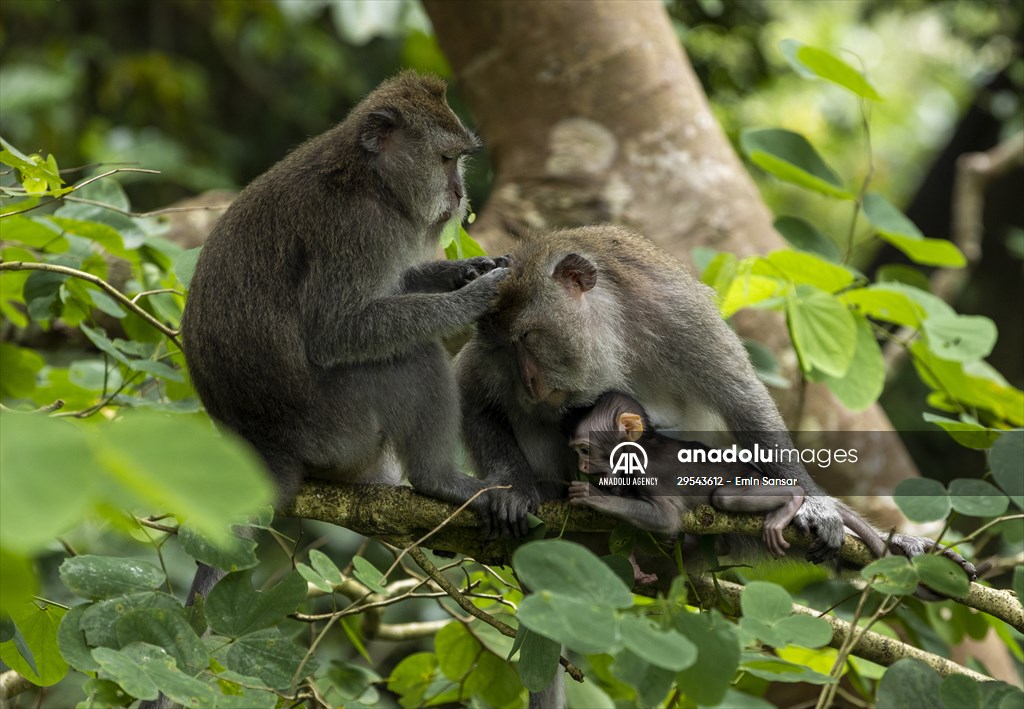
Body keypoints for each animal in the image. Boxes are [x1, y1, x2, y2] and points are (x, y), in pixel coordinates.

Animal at [178, 72, 508, 605]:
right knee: (408, 355)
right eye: (446, 159)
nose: (459, 194)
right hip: (337, 432)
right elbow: (335, 332)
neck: (371, 178)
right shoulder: (359, 228)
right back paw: (438, 482)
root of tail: (264, 448)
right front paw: (474, 296)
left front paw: (467, 270)